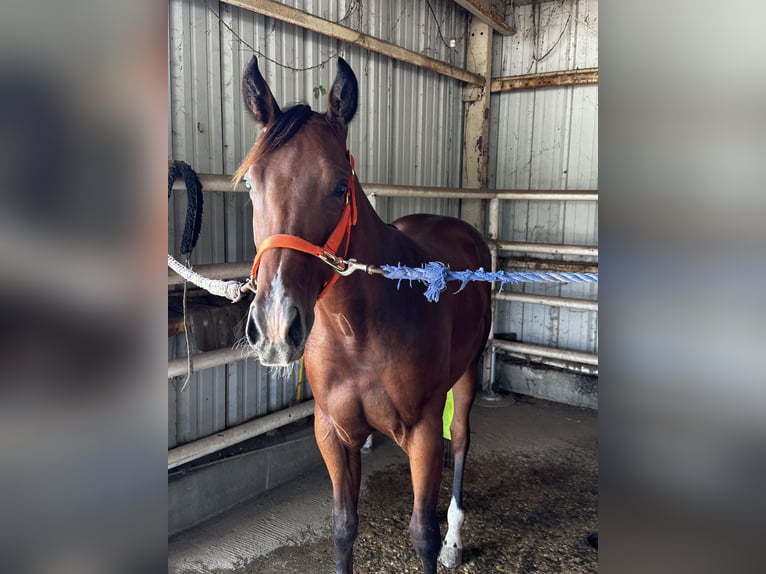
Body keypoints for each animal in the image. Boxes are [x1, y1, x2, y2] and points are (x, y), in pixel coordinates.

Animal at [237, 55, 496, 574]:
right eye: (252, 183)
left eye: (340, 186)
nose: (275, 326)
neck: (357, 332)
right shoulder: (333, 433)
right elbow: (344, 527)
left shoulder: (421, 432)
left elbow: (422, 535)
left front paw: (441, 541)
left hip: (469, 374)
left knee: (460, 440)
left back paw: (456, 539)